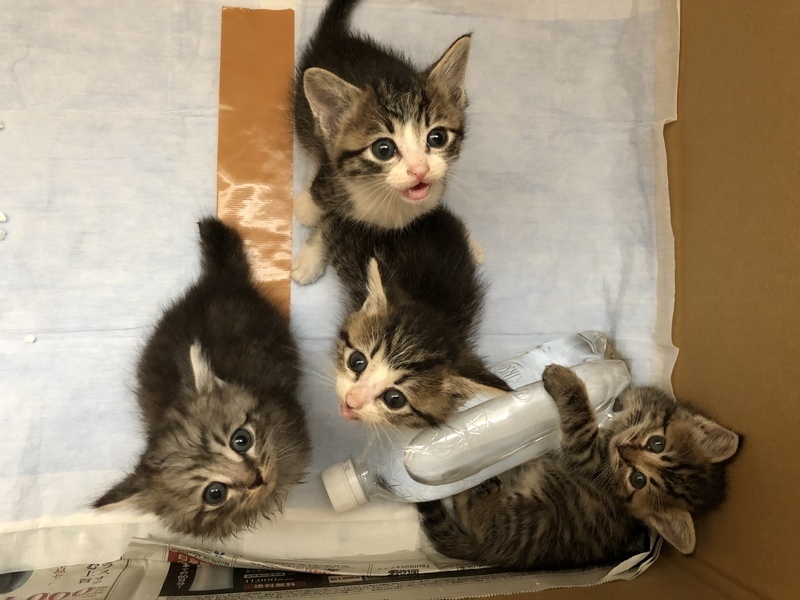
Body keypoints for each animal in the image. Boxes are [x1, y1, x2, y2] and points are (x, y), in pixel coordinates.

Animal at [291, 0, 482, 285]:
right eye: (384, 150)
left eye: (437, 138)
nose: (419, 170)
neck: (392, 207)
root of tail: (334, 37)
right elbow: (327, 211)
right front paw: (309, 245)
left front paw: (470, 244)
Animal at [418, 363, 741, 570]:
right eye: (657, 443)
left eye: (638, 480)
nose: (622, 450)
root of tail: (492, 555)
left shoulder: (587, 458)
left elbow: (581, 424)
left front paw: (564, 380)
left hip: (521, 517)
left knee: (474, 515)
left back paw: (474, 490)